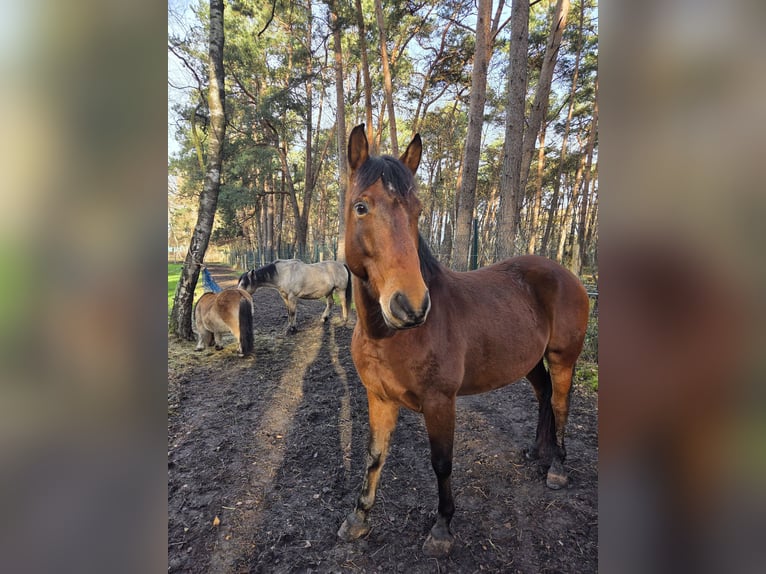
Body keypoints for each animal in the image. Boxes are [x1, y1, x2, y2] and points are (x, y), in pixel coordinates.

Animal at [337, 124, 590, 557]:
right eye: (361, 207)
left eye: (418, 211)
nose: (411, 305)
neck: (389, 336)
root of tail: (567, 274)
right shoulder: (379, 397)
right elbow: (374, 455)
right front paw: (358, 518)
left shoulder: (441, 403)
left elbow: (442, 463)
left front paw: (442, 529)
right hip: (529, 361)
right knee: (542, 396)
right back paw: (538, 452)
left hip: (562, 359)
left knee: (559, 404)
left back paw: (557, 467)